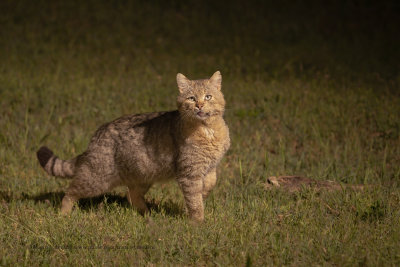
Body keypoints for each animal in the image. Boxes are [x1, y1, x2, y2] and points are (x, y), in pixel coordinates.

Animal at [38, 70, 231, 222]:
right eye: (191, 98)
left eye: (208, 96)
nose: (199, 105)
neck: (208, 130)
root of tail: (96, 136)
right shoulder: (189, 173)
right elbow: (194, 201)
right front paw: (198, 222)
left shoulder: (210, 167)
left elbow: (208, 186)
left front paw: (201, 198)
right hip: (96, 179)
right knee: (70, 192)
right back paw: (64, 214)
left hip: (143, 175)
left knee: (132, 196)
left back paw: (148, 215)